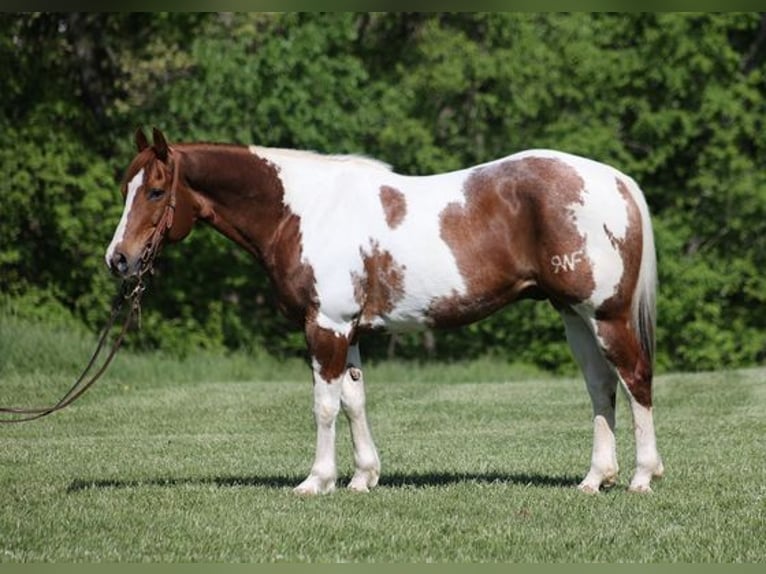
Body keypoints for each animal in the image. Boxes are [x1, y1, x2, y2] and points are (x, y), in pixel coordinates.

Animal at [106, 128, 664, 495]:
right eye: (125, 188)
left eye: (155, 190)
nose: (119, 260)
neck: (303, 212)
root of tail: (616, 180)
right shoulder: (347, 329)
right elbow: (354, 400)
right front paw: (363, 477)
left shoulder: (325, 326)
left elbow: (324, 405)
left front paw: (317, 481)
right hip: (574, 316)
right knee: (600, 386)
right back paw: (595, 479)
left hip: (605, 315)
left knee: (635, 378)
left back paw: (642, 476)